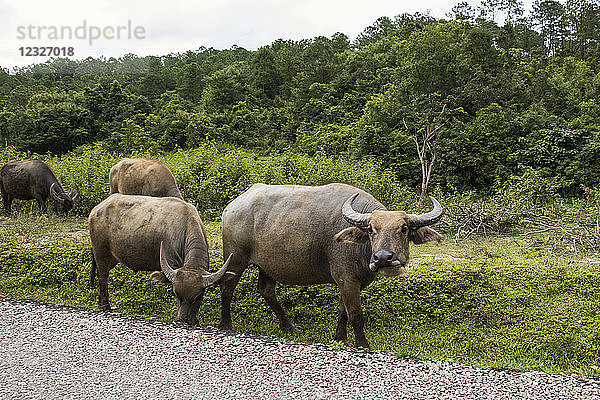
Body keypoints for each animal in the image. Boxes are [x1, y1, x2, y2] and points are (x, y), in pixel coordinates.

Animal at [89, 193, 232, 324]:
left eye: (198, 297)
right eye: (175, 294)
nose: (182, 320)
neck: (185, 227)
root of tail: (96, 209)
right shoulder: (172, 261)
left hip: (113, 257)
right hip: (100, 252)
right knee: (103, 277)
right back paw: (106, 306)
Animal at [218, 183, 442, 348]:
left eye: (404, 229)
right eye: (371, 229)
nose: (383, 258)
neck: (360, 248)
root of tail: (232, 207)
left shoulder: (348, 281)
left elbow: (343, 310)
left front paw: (340, 338)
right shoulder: (347, 279)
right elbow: (355, 314)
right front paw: (363, 344)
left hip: (267, 265)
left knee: (266, 290)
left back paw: (289, 326)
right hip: (235, 258)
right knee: (227, 287)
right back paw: (226, 324)